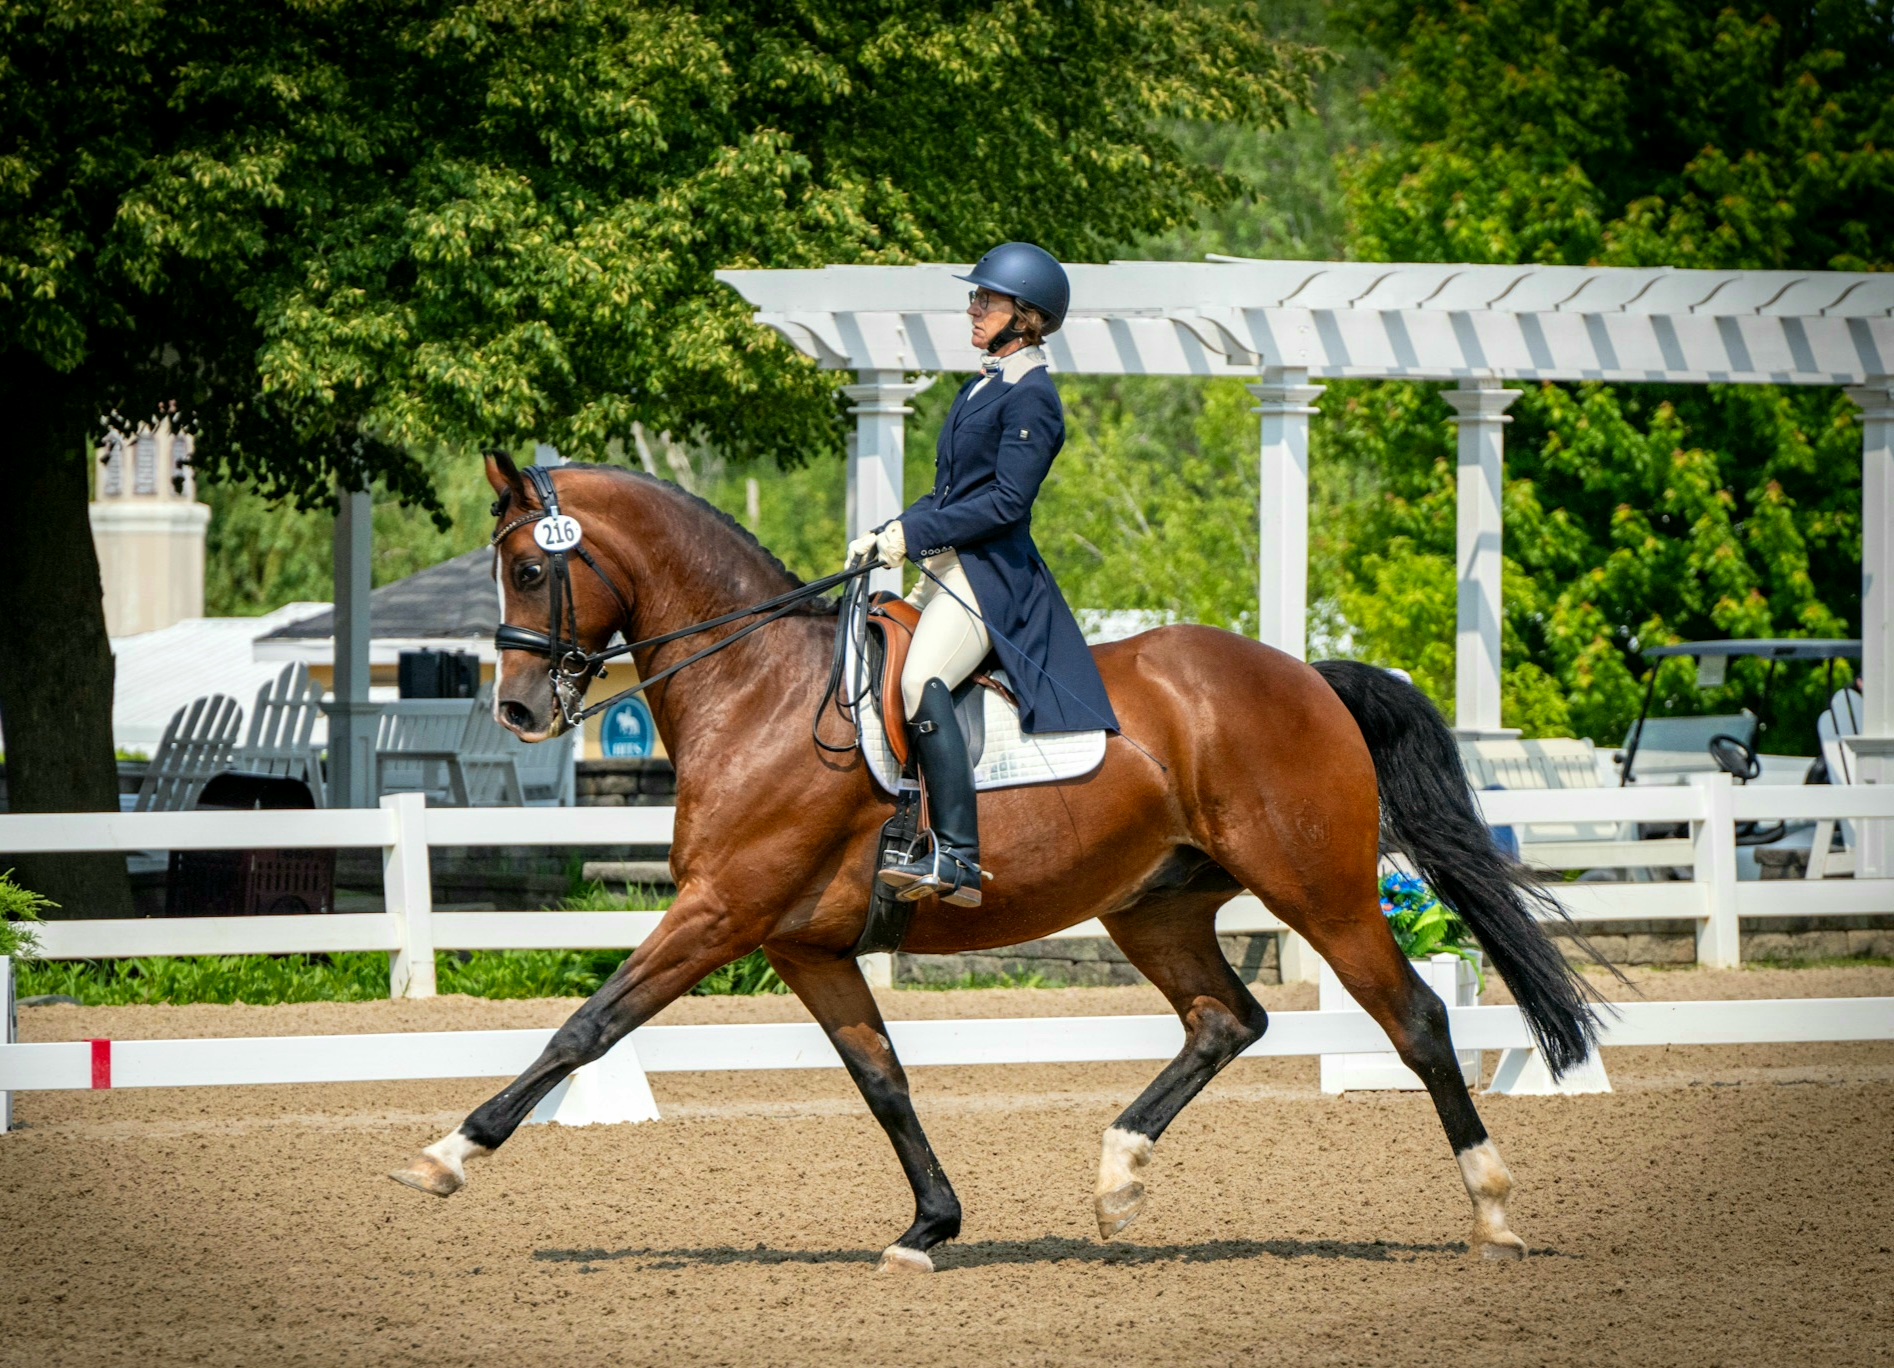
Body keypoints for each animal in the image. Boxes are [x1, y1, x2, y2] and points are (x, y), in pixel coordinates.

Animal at [390, 452, 1604, 1271]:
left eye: (524, 569)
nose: (516, 709)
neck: (760, 689)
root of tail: (1307, 676)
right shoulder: (802, 944)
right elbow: (880, 1077)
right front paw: (929, 1228)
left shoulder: (720, 910)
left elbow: (587, 1026)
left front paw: (447, 1153)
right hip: (1154, 906)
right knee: (1227, 1019)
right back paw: (1117, 1180)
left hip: (1322, 890)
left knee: (1416, 1020)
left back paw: (1494, 1211)